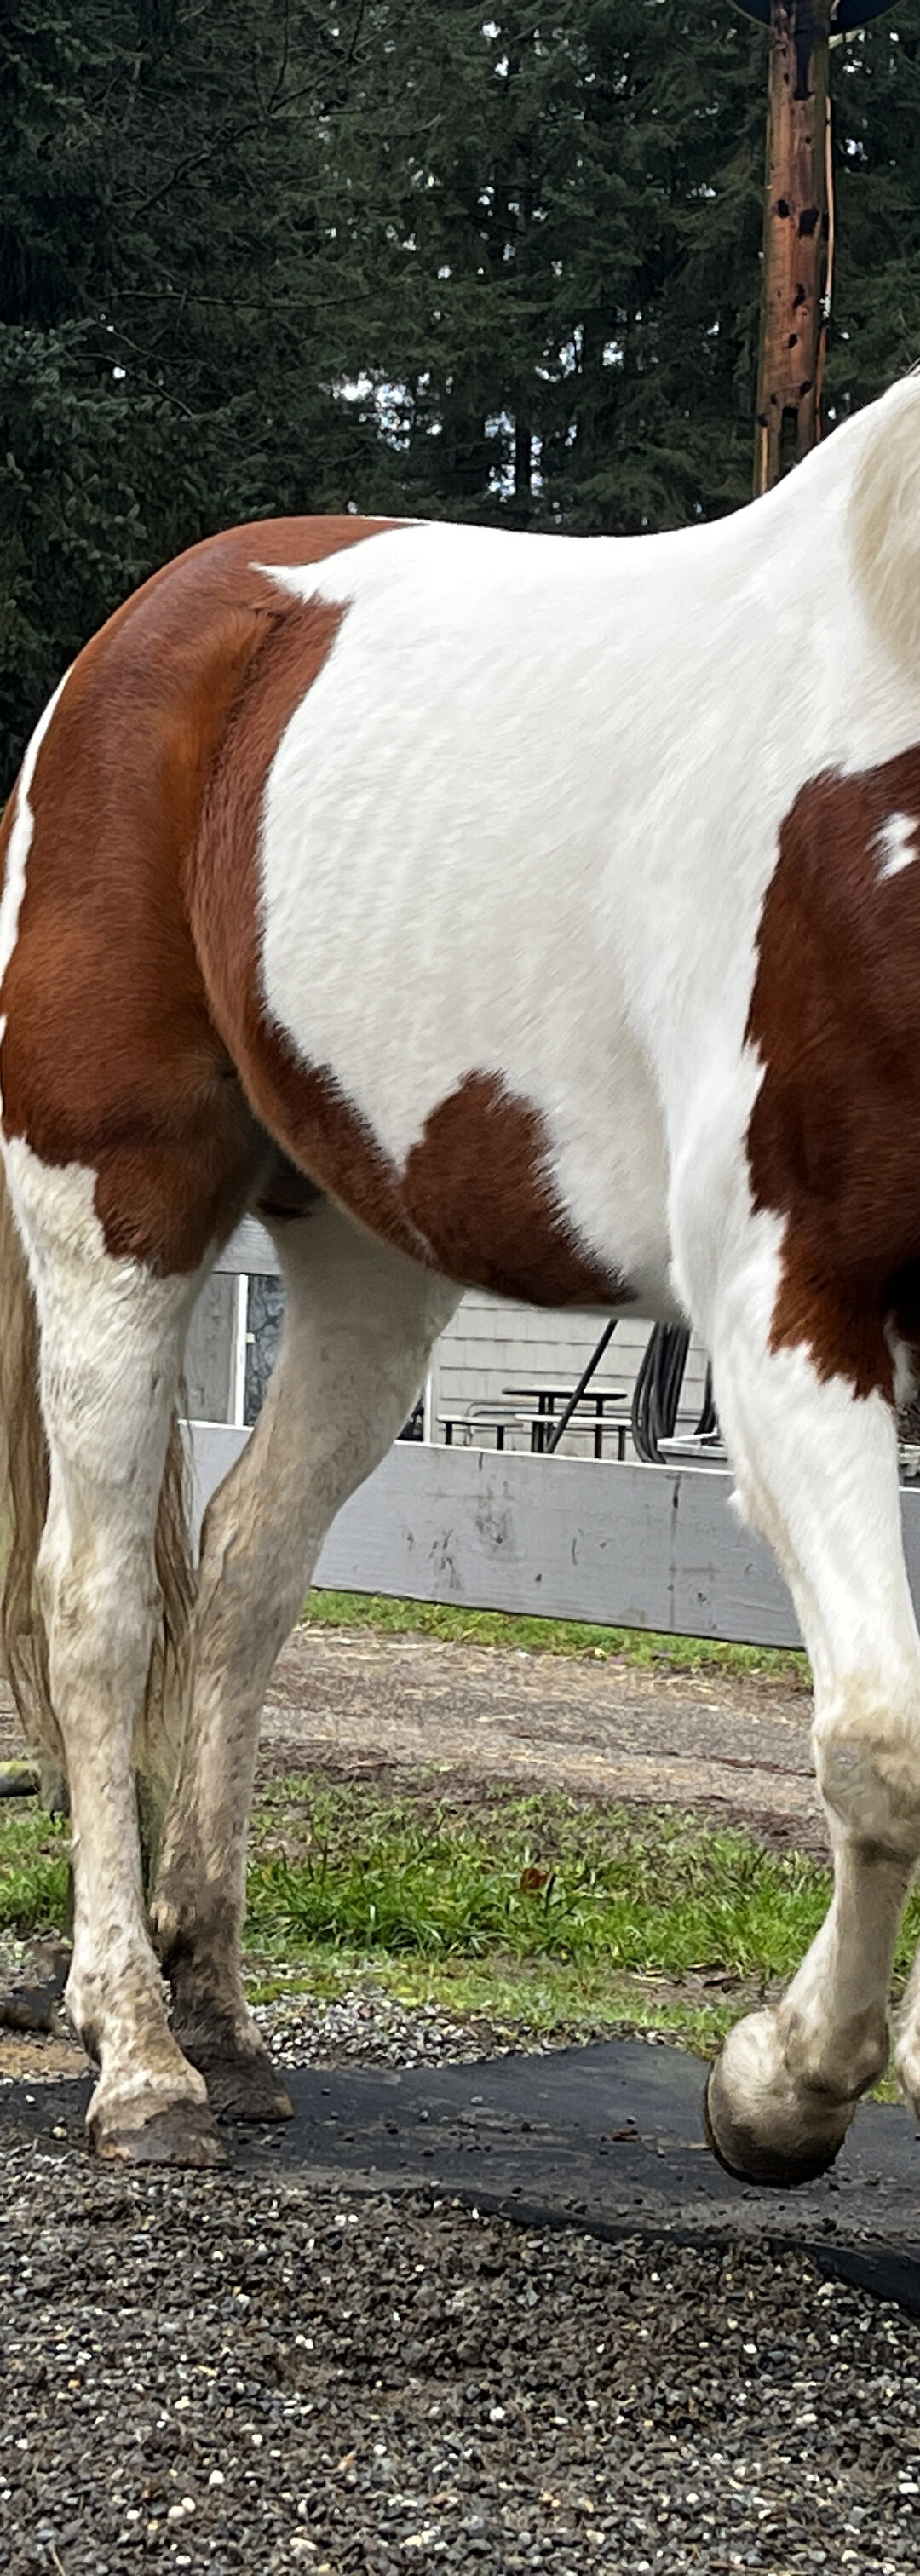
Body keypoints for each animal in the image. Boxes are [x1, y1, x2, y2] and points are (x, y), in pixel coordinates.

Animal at [3, 369, 920, 2176]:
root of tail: (160, 628)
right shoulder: (792, 1306)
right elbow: (882, 1738)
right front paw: (776, 2089)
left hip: (369, 1263)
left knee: (248, 1564)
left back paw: (218, 2008)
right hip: (112, 1217)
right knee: (101, 1598)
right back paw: (137, 2049)